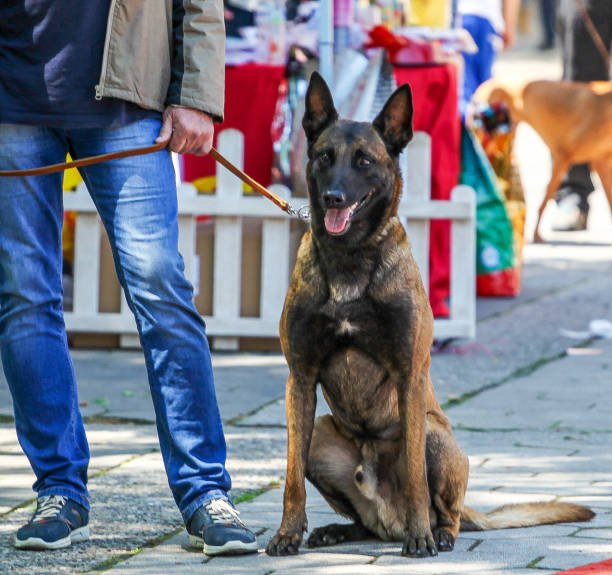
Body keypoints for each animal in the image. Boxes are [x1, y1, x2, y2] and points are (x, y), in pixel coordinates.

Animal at [266, 70, 596, 560]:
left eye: (364, 161)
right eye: (325, 157)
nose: (333, 197)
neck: (350, 258)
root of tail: (387, 518)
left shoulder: (409, 376)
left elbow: (417, 478)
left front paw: (421, 537)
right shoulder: (300, 379)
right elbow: (291, 477)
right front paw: (288, 533)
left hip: (435, 434)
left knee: (446, 510)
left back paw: (434, 532)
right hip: (323, 434)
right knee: (362, 521)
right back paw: (340, 531)